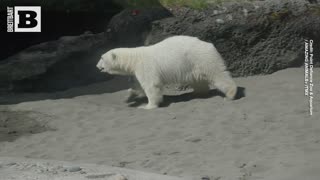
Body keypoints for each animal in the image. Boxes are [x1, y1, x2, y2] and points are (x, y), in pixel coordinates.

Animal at [97, 35, 238, 109]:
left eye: (102, 58)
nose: (97, 66)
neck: (134, 58)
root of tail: (210, 45)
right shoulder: (137, 71)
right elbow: (138, 86)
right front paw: (128, 97)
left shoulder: (145, 66)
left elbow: (151, 85)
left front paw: (148, 106)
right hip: (193, 65)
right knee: (198, 80)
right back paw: (197, 93)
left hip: (203, 58)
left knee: (218, 74)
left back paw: (230, 95)